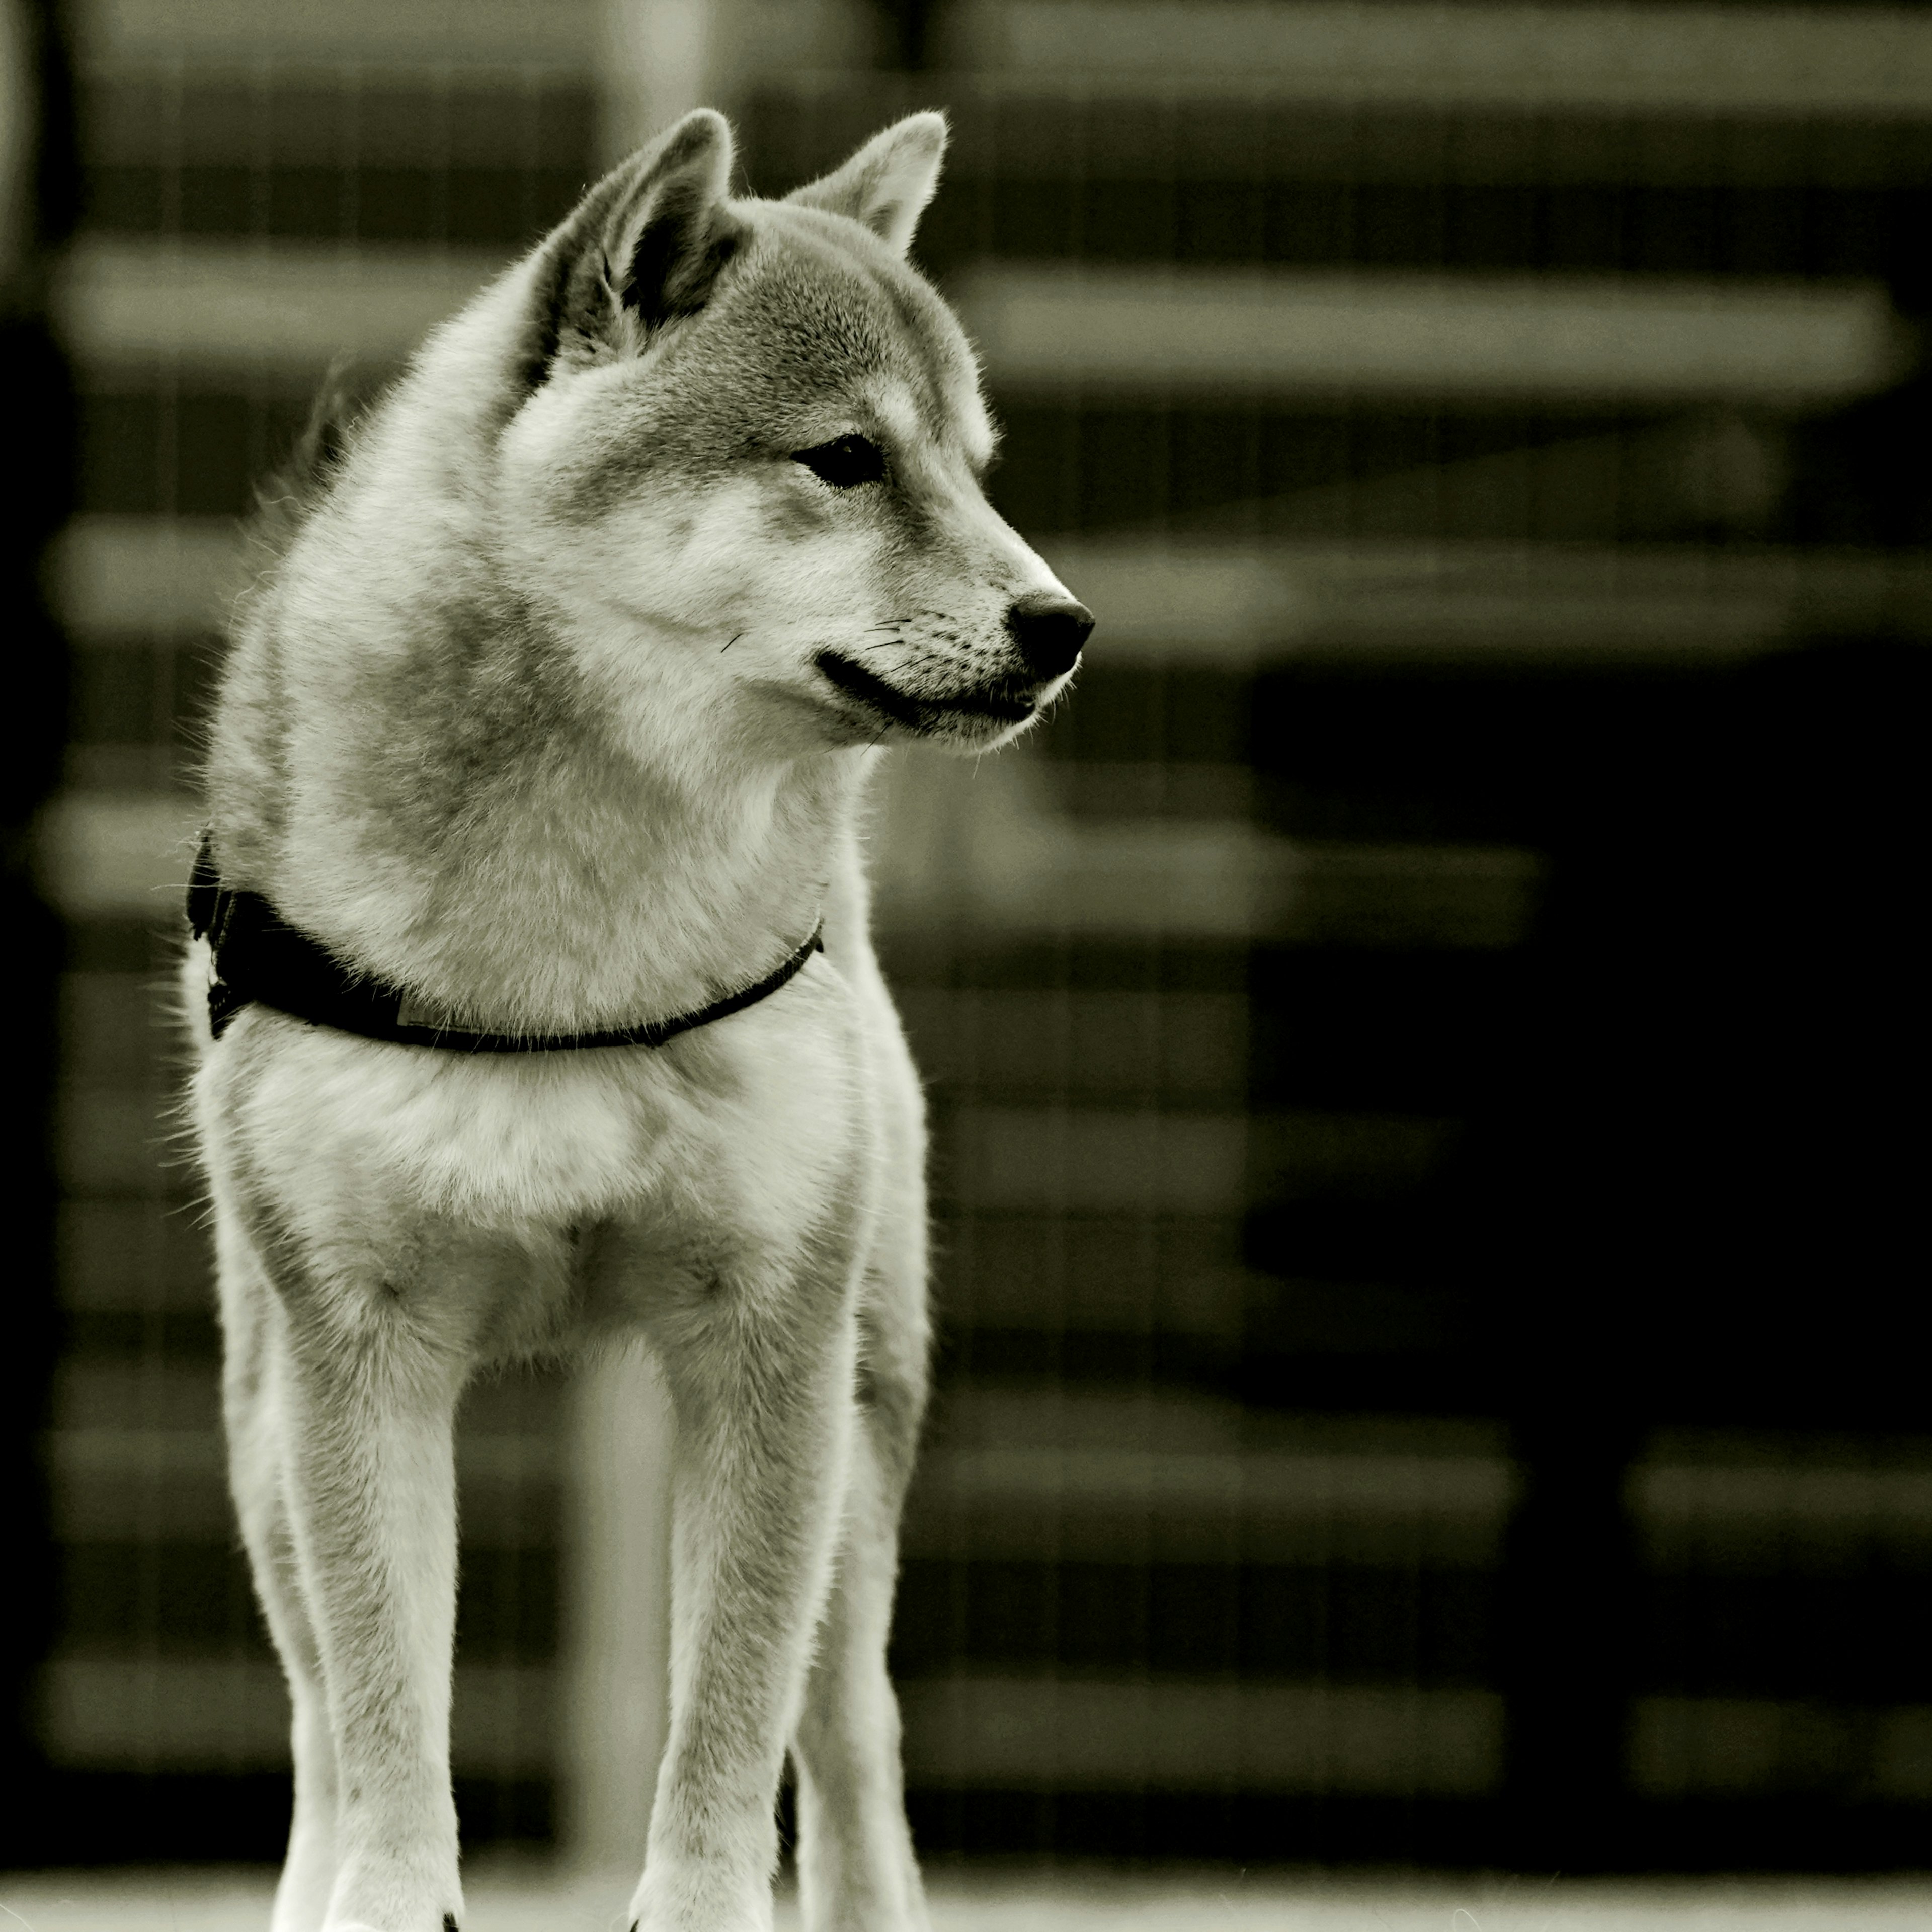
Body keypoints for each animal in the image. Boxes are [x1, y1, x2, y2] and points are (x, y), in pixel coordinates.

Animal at [186, 109, 1097, 1932]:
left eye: (973, 465)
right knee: (318, 1718)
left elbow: (732, 1731)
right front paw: (390, 1901)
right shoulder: (358, 1356)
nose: (1063, 624)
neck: (572, 953)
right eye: (844, 460)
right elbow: (384, 1728)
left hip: (861, 1414)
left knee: (853, 1733)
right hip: (262, 1427)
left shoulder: (768, 1349)